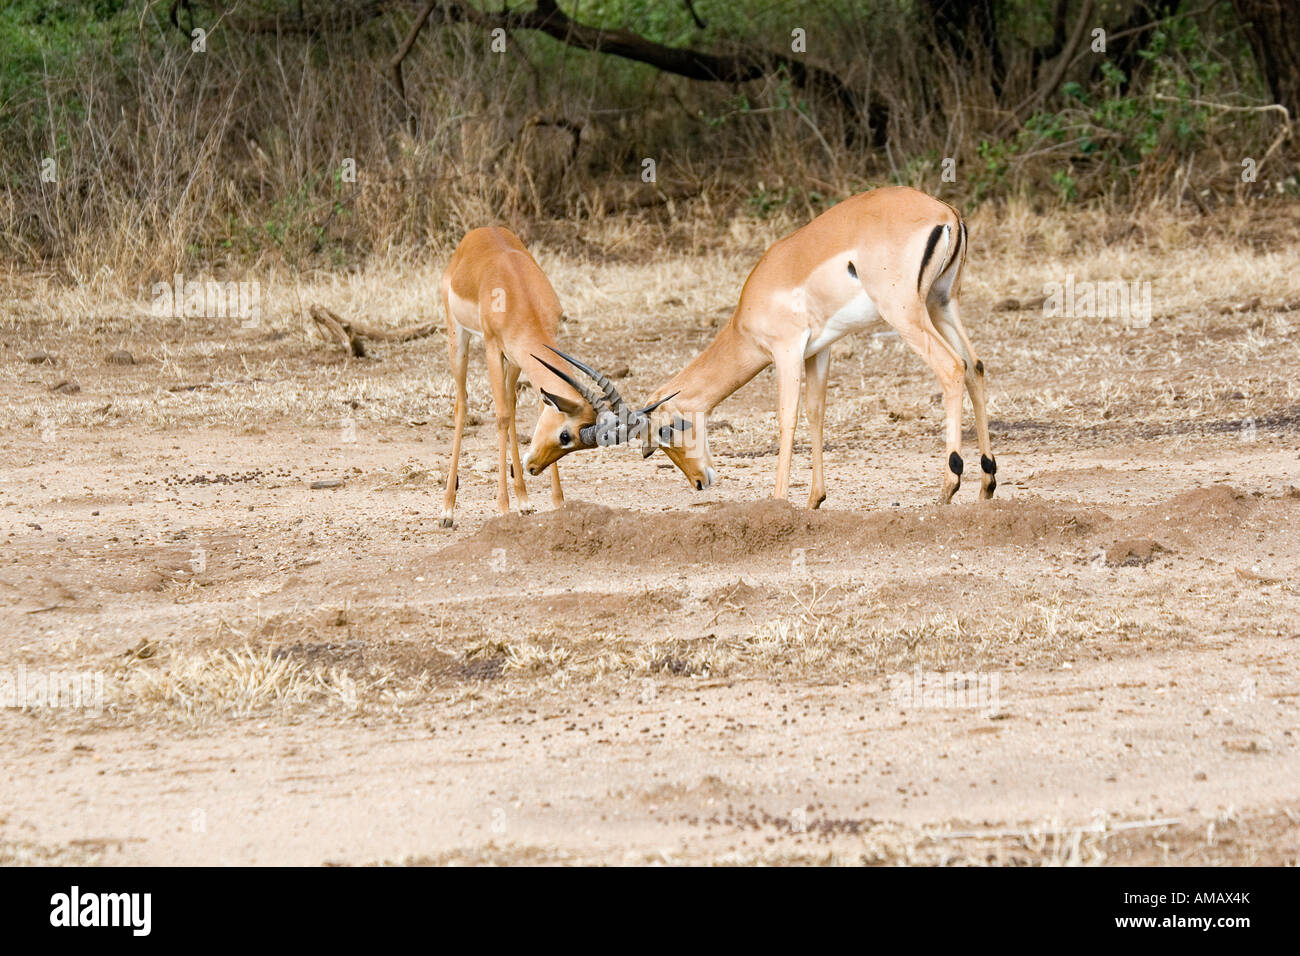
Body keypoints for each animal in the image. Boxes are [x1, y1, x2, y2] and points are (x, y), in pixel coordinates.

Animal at [440, 227, 646, 528]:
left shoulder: (527, 353)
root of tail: (480, 232)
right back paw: (447, 511)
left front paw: (558, 502)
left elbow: (531, 408)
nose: (534, 467)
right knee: (462, 404)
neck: (519, 291)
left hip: (514, 361)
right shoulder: (492, 347)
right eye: (565, 436)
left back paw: (524, 501)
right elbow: (500, 417)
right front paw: (503, 508)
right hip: (459, 338)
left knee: (511, 403)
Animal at [546, 186, 997, 506]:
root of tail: (944, 212)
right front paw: (814, 500)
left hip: (905, 313)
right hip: (942, 303)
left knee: (952, 367)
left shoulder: (785, 351)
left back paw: (948, 486)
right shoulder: (819, 350)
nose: (699, 481)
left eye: (669, 428)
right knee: (975, 366)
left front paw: (779, 501)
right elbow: (816, 413)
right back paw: (986, 484)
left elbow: (787, 418)